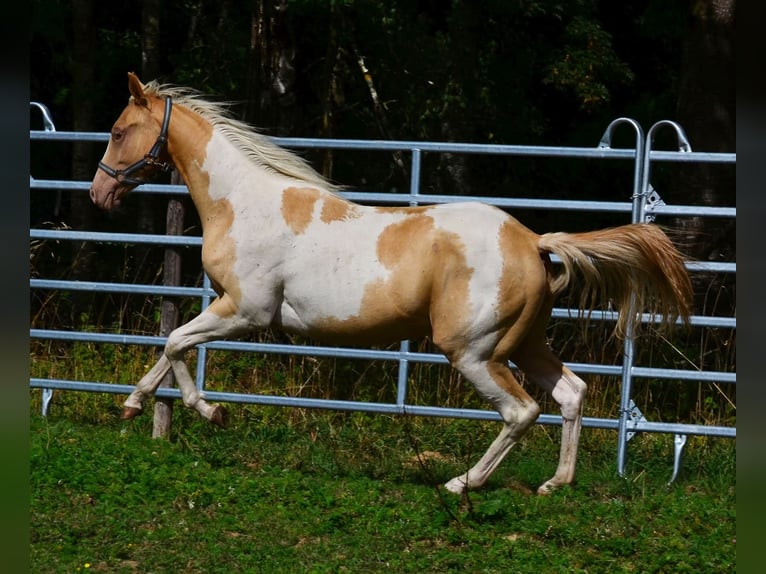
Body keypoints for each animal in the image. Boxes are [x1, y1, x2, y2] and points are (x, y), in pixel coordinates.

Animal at [89, 72, 692, 495]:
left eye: (118, 132)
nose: (99, 193)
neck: (243, 202)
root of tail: (532, 242)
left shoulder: (247, 311)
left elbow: (175, 342)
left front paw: (211, 411)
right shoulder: (225, 305)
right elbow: (172, 347)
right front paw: (134, 405)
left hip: (473, 352)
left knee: (521, 412)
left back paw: (462, 482)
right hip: (523, 344)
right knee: (571, 393)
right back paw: (555, 484)